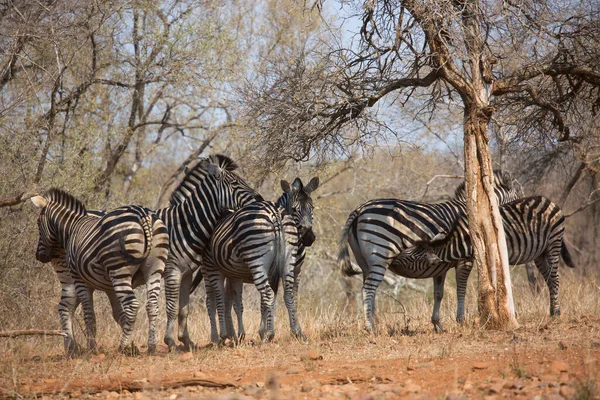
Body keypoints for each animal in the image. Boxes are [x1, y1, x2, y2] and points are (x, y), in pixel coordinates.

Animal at [31, 189, 170, 354]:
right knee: (152, 305)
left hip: (118, 270)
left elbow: (89, 314)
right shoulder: (107, 285)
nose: (39, 256)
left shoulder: (80, 279)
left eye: (38, 223)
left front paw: (92, 347)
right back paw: (151, 346)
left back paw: (120, 346)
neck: (72, 228)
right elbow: (116, 313)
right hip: (155, 266)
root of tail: (143, 214)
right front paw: (132, 344)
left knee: (131, 305)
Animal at [155, 153, 262, 350]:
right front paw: (172, 341)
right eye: (235, 183)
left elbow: (186, 307)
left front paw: (187, 340)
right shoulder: (176, 270)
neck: (184, 225)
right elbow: (175, 307)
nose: (259, 199)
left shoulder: (190, 271)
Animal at [200, 177, 318, 344]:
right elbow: (267, 300)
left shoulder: (294, 271)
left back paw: (233, 335)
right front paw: (265, 331)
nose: (309, 238)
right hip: (212, 267)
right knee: (211, 300)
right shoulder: (276, 272)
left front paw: (294, 331)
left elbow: (290, 299)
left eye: (312, 207)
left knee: (230, 300)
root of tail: (276, 215)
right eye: (295, 210)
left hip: (234, 271)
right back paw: (218, 337)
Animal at [338, 170, 516, 332]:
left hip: (363, 261)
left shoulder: (440, 264)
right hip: (381, 255)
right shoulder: (464, 259)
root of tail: (360, 209)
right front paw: (461, 320)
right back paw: (371, 328)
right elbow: (461, 289)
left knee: (367, 289)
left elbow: (438, 294)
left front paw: (437, 324)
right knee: (369, 288)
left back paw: (375, 323)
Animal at [400, 195, 576, 318]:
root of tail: (549, 201)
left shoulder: (479, 256)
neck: (464, 238)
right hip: (540, 252)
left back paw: (556, 313)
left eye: (411, 257)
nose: (394, 260)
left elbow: (482, 284)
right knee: (549, 278)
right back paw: (552, 310)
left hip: (554, 241)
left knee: (555, 278)